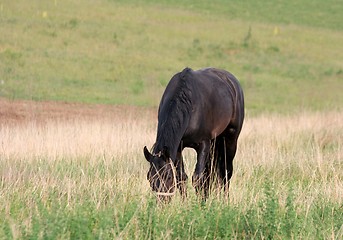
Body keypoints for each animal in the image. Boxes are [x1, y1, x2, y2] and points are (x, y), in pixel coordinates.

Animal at [144, 67, 245, 201]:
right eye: (149, 178)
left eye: (168, 177)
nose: (162, 201)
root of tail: (233, 82)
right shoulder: (178, 148)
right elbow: (182, 177)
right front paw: (186, 203)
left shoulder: (203, 144)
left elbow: (198, 178)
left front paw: (201, 203)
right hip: (215, 141)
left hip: (230, 140)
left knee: (226, 171)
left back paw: (224, 200)